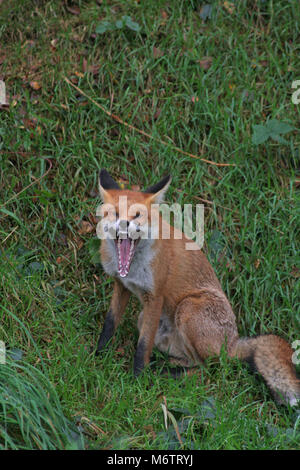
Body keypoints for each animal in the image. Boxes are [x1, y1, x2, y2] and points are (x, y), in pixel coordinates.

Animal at [96, 170, 300, 408]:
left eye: (137, 215)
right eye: (115, 213)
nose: (124, 224)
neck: (133, 269)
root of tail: (233, 343)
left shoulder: (155, 296)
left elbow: (143, 345)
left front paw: (136, 379)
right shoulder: (121, 286)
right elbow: (110, 323)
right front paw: (98, 355)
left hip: (187, 308)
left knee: (212, 368)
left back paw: (167, 373)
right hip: (147, 320)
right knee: (195, 361)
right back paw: (164, 365)